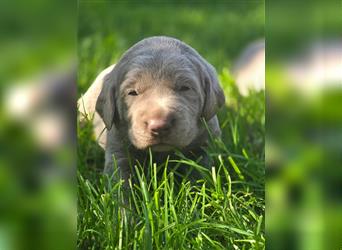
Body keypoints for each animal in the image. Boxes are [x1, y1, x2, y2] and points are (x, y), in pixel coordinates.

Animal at [79, 36, 226, 182]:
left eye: (185, 88)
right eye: (132, 92)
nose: (159, 126)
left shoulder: (205, 145)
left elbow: (200, 173)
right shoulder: (118, 149)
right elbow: (119, 179)